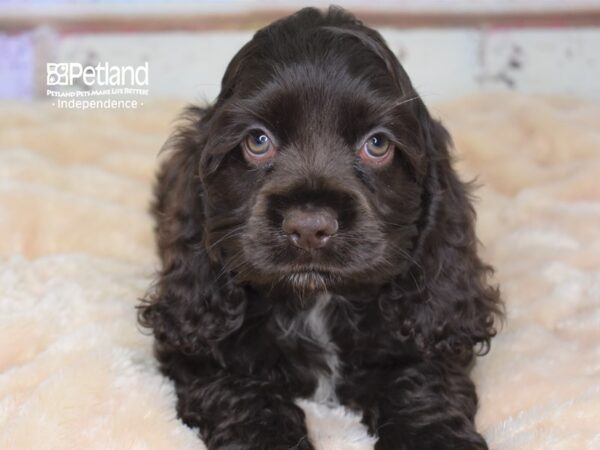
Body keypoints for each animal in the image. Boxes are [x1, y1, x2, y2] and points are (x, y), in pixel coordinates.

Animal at [139, 7, 502, 450]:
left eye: (377, 144)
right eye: (257, 141)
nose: (309, 227)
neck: (317, 301)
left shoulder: (429, 330)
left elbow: (422, 384)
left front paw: (433, 437)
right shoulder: (201, 349)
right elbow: (244, 397)